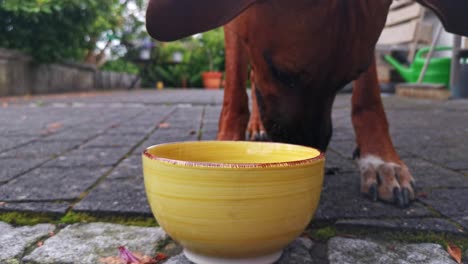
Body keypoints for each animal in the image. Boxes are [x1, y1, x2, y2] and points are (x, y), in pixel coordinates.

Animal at [146, 0, 468, 208]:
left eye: (348, 78)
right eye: (282, 73)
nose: (313, 147)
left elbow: (369, 98)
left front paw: (381, 159)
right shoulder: (234, 24)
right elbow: (236, 85)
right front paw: (228, 140)